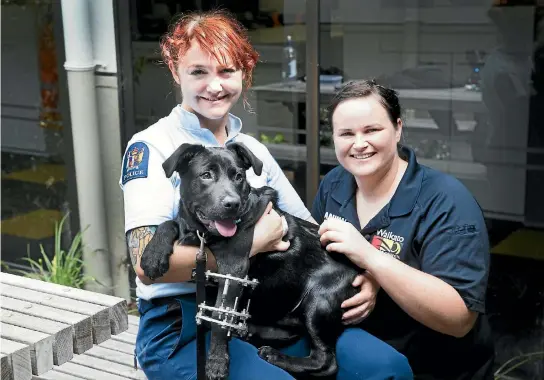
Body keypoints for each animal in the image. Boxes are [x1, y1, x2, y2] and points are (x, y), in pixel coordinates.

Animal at [140, 142, 362, 380]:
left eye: (239, 177)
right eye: (206, 175)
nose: (232, 204)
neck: (203, 234)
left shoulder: (234, 270)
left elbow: (220, 315)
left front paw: (217, 362)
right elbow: (168, 223)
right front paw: (152, 255)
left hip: (318, 302)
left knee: (326, 362)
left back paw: (275, 355)